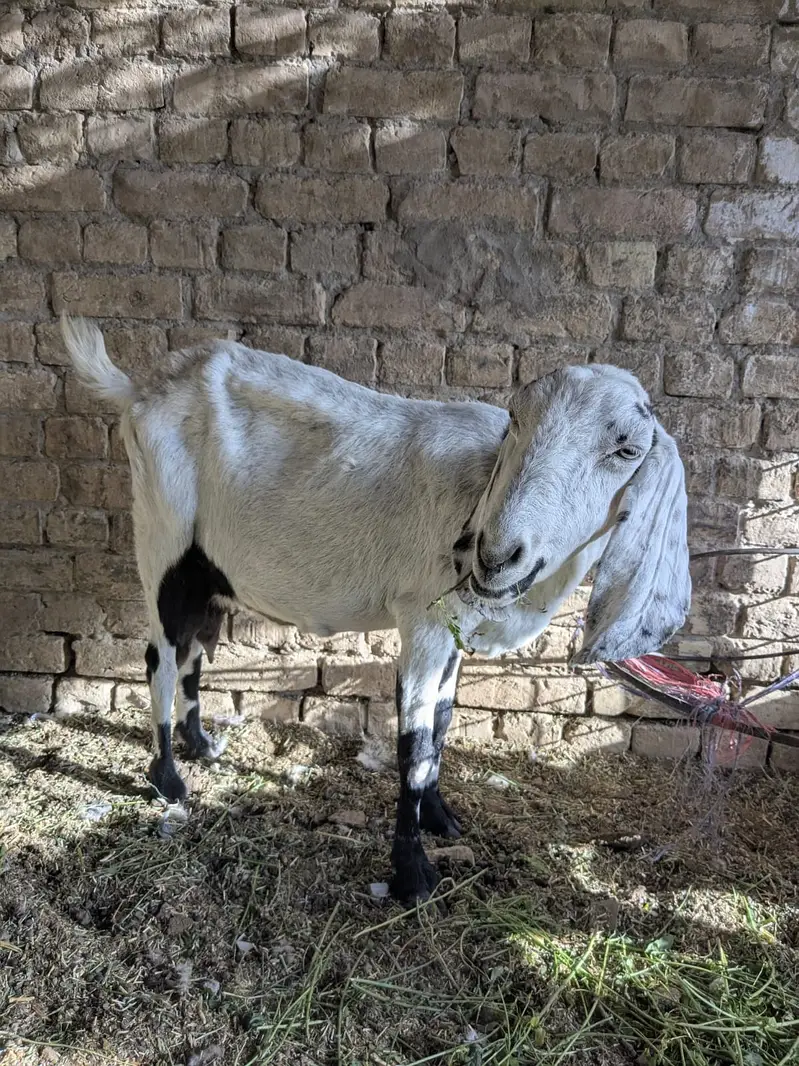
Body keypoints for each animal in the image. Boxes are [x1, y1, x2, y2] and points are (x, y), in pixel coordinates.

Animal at [61, 316, 691, 903]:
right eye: (515, 420)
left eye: (627, 450)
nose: (493, 555)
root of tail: (140, 389)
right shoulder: (423, 620)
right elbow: (413, 742)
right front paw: (412, 875)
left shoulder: (454, 630)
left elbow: (443, 722)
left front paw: (440, 817)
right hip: (162, 536)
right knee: (160, 657)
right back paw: (169, 780)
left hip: (207, 568)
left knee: (192, 650)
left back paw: (202, 747)